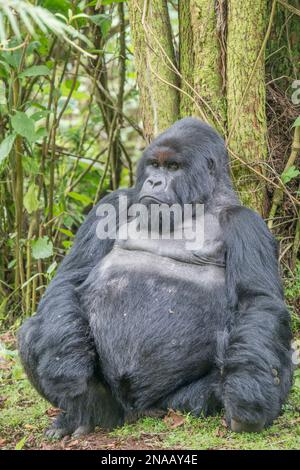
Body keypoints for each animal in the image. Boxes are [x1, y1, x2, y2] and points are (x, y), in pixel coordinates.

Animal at [18, 117, 292, 436]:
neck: (197, 203)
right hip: (114, 405)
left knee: (274, 360)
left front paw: (247, 396)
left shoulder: (246, 222)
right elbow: (71, 278)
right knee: (35, 331)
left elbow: (256, 301)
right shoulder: (114, 200)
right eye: (154, 165)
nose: (154, 182)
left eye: (173, 167)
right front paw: (65, 362)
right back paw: (80, 415)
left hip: (172, 402)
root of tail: (135, 412)